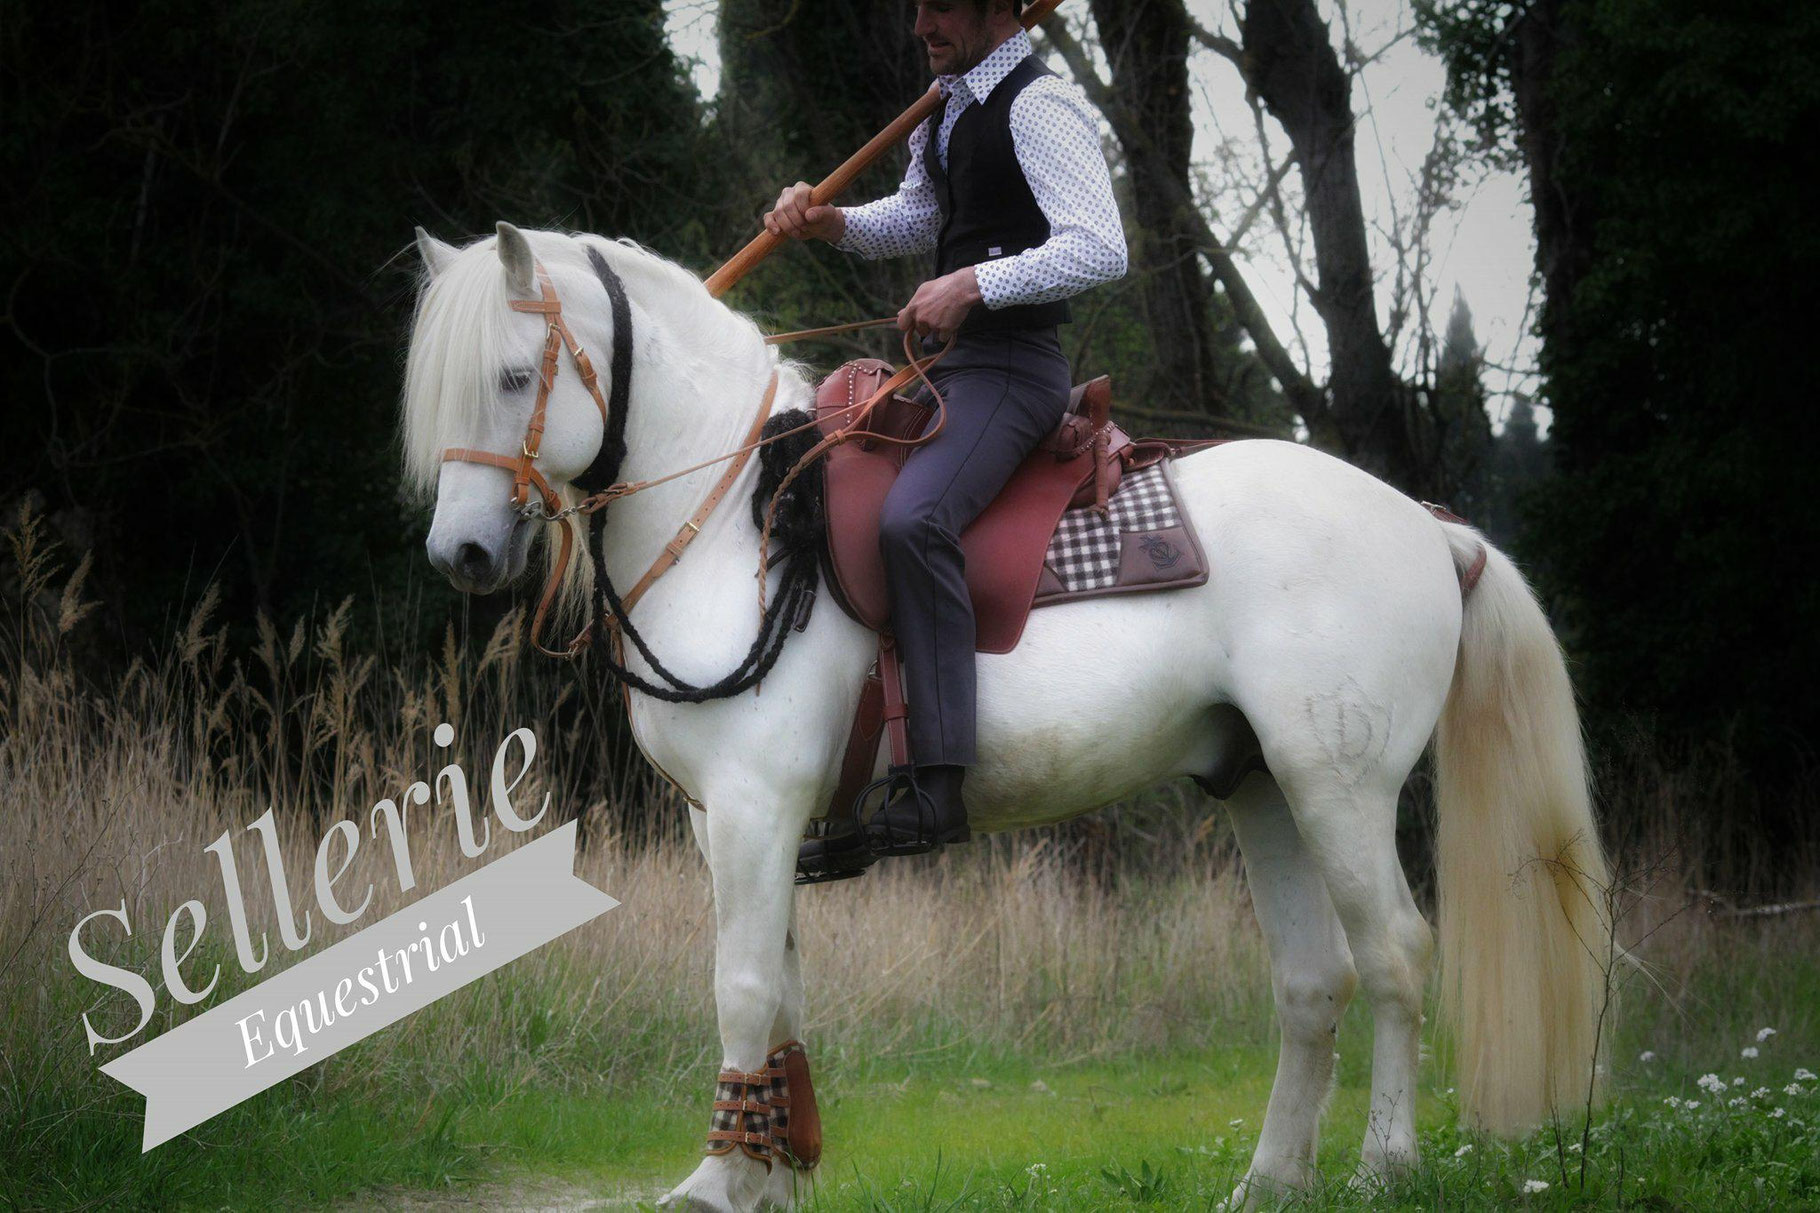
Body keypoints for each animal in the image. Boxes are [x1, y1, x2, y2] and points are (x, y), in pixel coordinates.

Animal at [401, 222, 1611, 1211]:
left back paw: (1384, 1167)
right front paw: (771, 1172)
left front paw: (713, 1182)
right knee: (1314, 979)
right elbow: (780, 993)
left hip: (1338, 786)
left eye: (513, 376)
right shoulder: (728, 824)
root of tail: (1425, 523)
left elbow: (740, 988)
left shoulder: (755, 809)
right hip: (1261, 785)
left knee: (1396, 954)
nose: (460, 555)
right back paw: (1269, 1181)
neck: (748, 519)